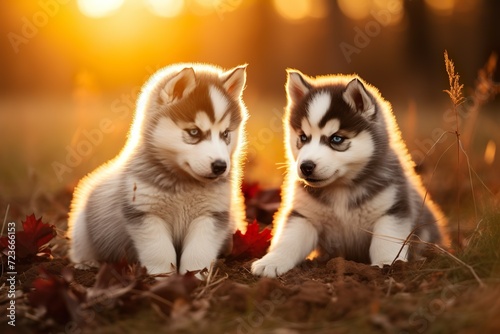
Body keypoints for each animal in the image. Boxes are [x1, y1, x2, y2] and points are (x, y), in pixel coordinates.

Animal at [69, 64, 249, 276]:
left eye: (226, 133)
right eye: (194, 132)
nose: (220, 166)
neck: (184, 184)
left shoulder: (211, 215)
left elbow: (198, 252)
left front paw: (193, 276)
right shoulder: (145, 214)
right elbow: (160, 251)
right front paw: (163, 276)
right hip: (82, 225)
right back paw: (86, 263)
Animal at [252, 70, 448, 276]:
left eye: (336, 139)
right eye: (303, 137)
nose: (306, 166)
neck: (341, 189)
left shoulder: (393, 209)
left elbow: (386, 242)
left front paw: (388, 263)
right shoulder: (303, 215)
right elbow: (288, 241)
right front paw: (272, 261)